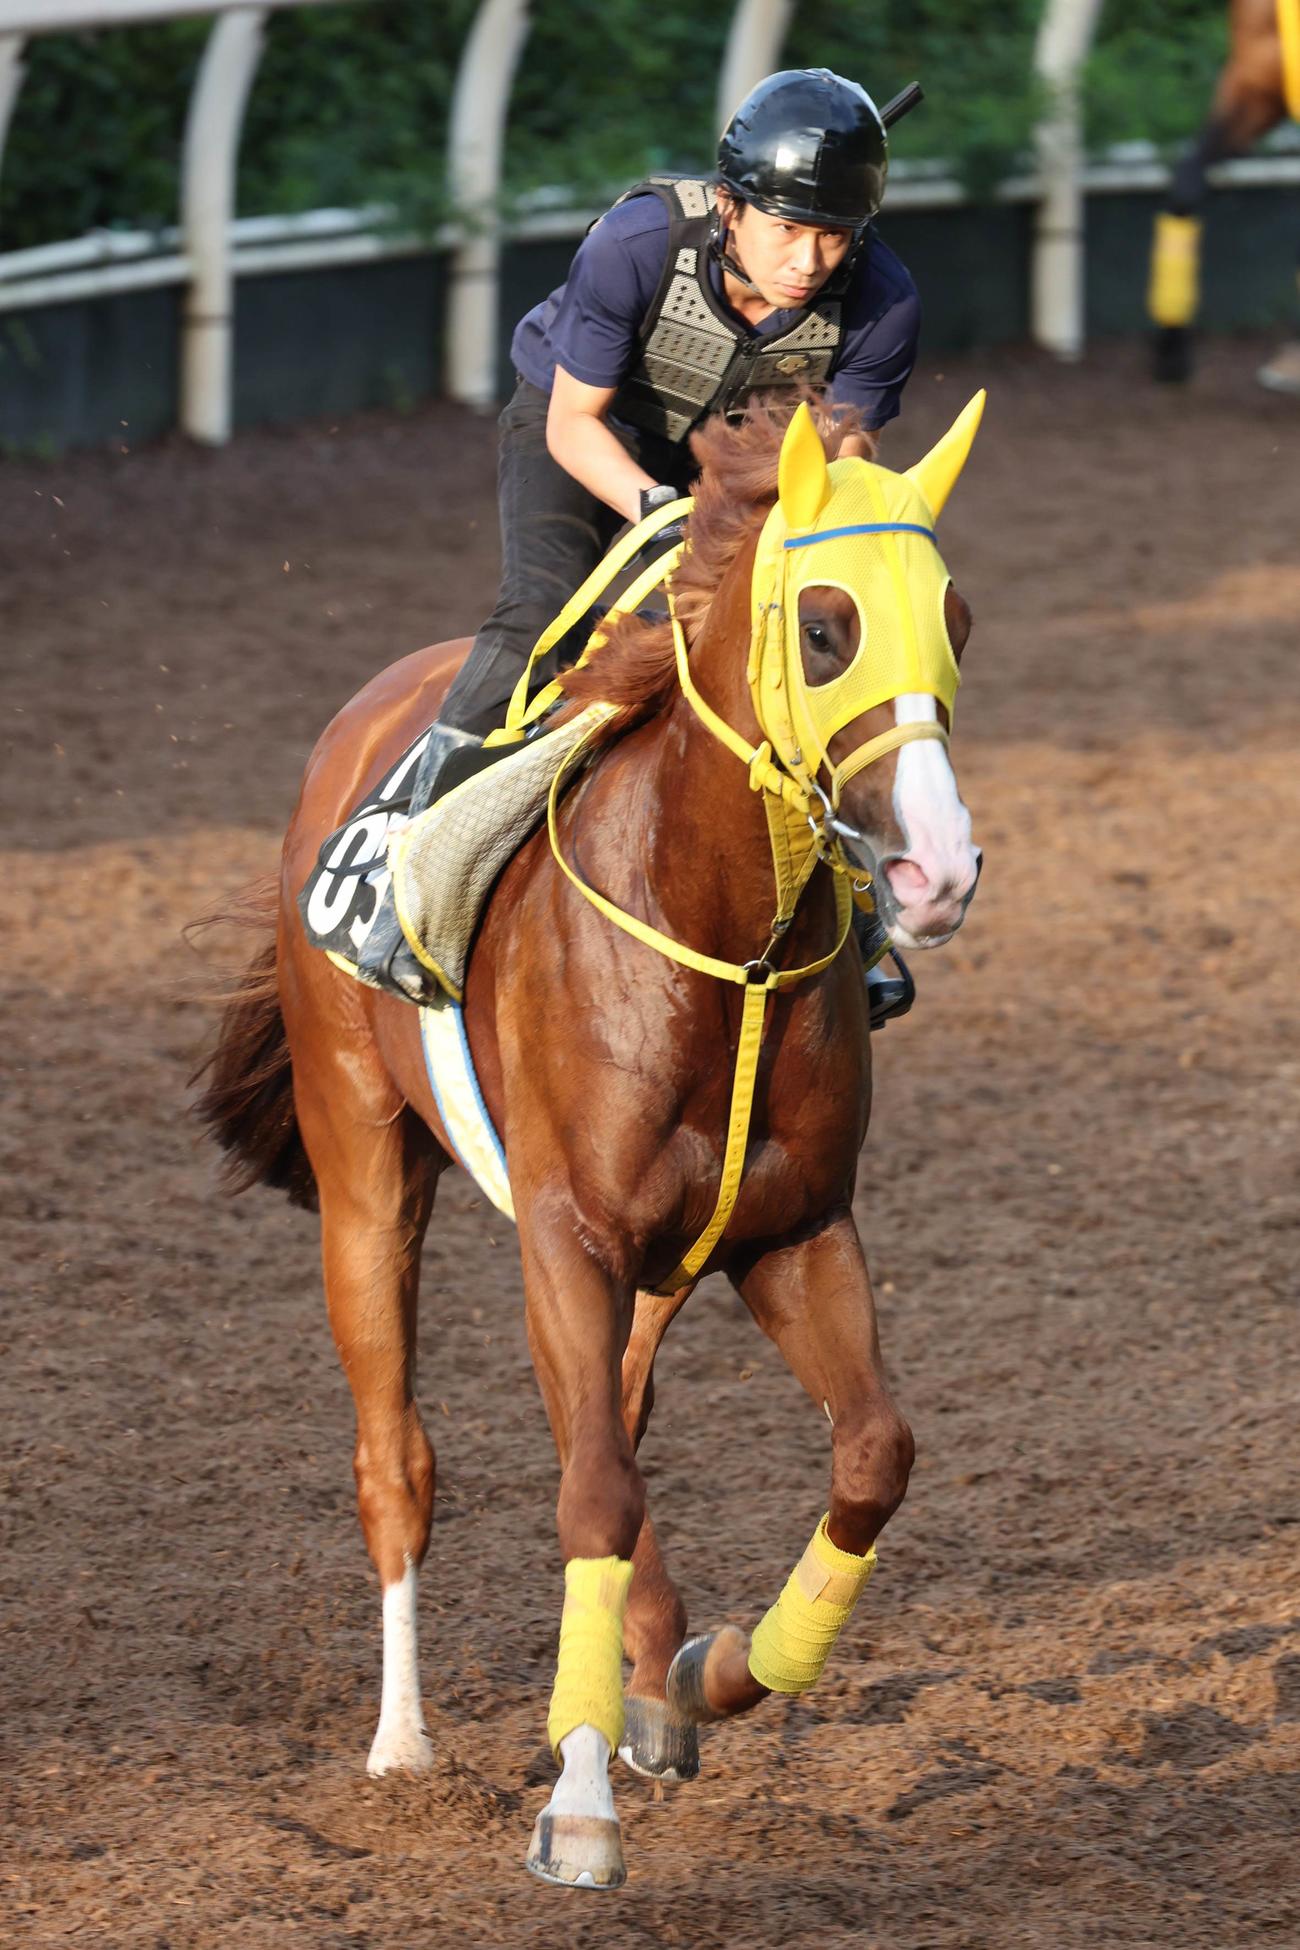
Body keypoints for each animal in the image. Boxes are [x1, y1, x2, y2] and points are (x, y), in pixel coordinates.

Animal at [194, 391, 984, 1889]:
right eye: (827, 626)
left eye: (958, 618)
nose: (938, 870)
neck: (726, 941)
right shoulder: (568, 1233)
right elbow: (591, 1497)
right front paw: (575, 1802)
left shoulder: (793, 1232)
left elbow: (870, 1455)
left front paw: (712, 1670)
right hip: (367, 1171)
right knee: (407, 1459)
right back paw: (405, 1743)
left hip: (654, 1263)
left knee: (608, 1413)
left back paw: (650, 1683)